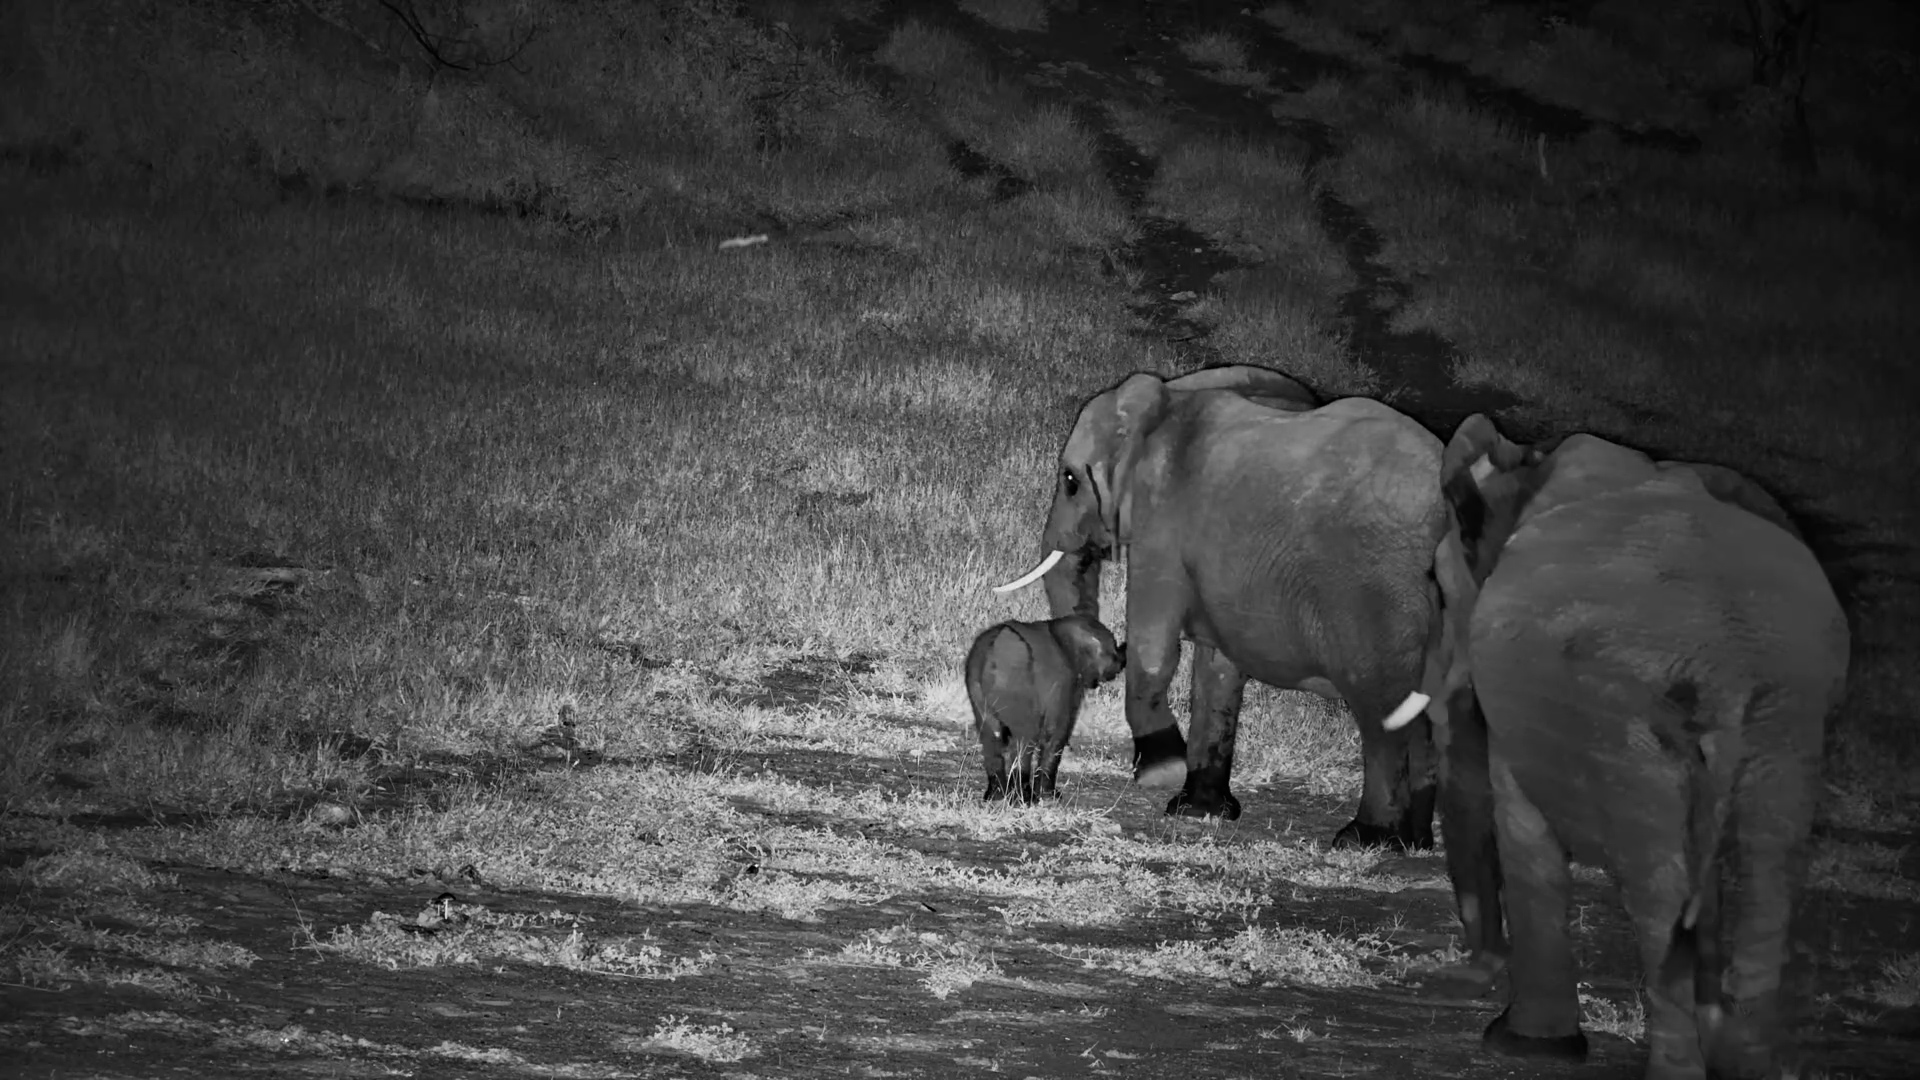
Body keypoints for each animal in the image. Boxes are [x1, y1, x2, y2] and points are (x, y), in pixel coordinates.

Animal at [965, 615, 1125, 803]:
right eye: (1113, 648)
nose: (1121, 663)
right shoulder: (1065, 684)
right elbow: (1056, 735)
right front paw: (1051, 797)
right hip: (1017, 684)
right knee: (1024, 739)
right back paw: (1023, 798)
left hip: (975, 685)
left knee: (990, 736)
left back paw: (995, 797)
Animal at [994, 364, 1450, 851]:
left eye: (1070, 481)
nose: (1109, 654)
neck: (1169, 396)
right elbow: (1218, 671)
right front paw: (1198, 812)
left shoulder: (1162, 522)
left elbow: (1154, 648)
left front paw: (1160, 772)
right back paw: (1414, 843)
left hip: (1377, 594)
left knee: (1381, 706)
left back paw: (1365, 840)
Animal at [1404, 414, 1849, 1079]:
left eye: (1436, 586)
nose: (1466, 975)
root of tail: (1726, 663)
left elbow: (1524, 832)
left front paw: (1521, 1046)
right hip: (1784, 714)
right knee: (1765, 875)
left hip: (1625, 719)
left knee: (1660, 887)